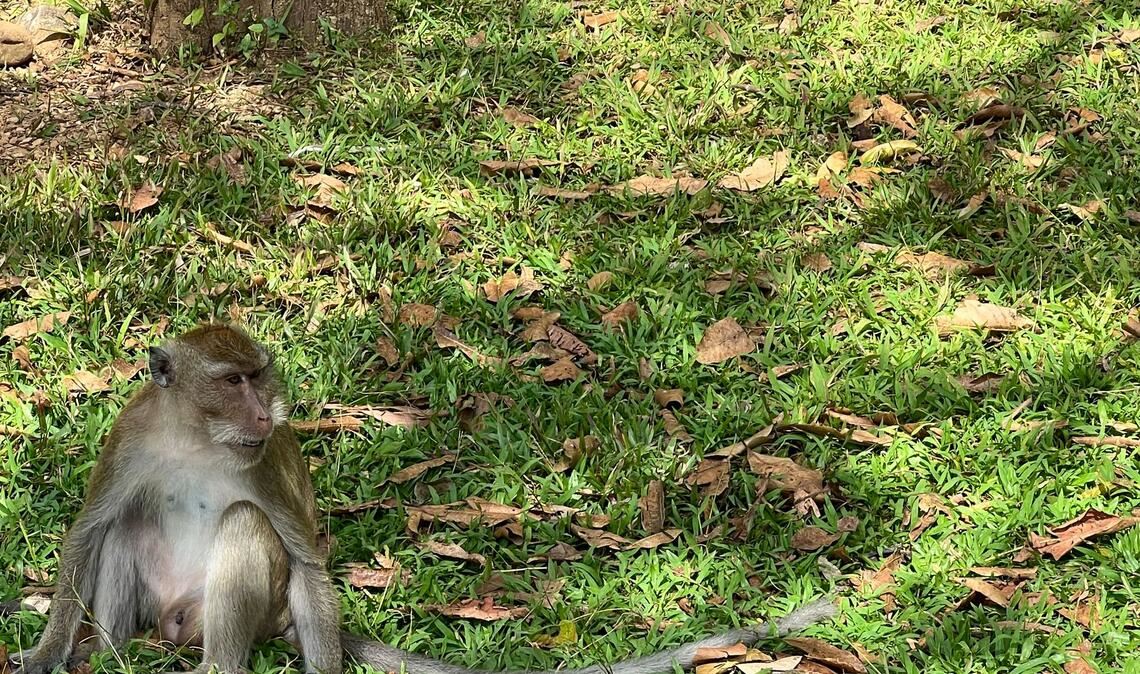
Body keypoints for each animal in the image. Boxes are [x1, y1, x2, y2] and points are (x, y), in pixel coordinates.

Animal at [8, 323, 836, 674]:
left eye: (257, 377)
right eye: (232, 380)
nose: (265, 414)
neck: (194, 439)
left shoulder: (259, 465)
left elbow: (304, 555)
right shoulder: (131, 438)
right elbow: (89, 530)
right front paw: (46, 654)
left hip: (241, 614)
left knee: (247, 531)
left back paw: (217, 669)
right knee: (128, 526)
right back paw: (113, 655)